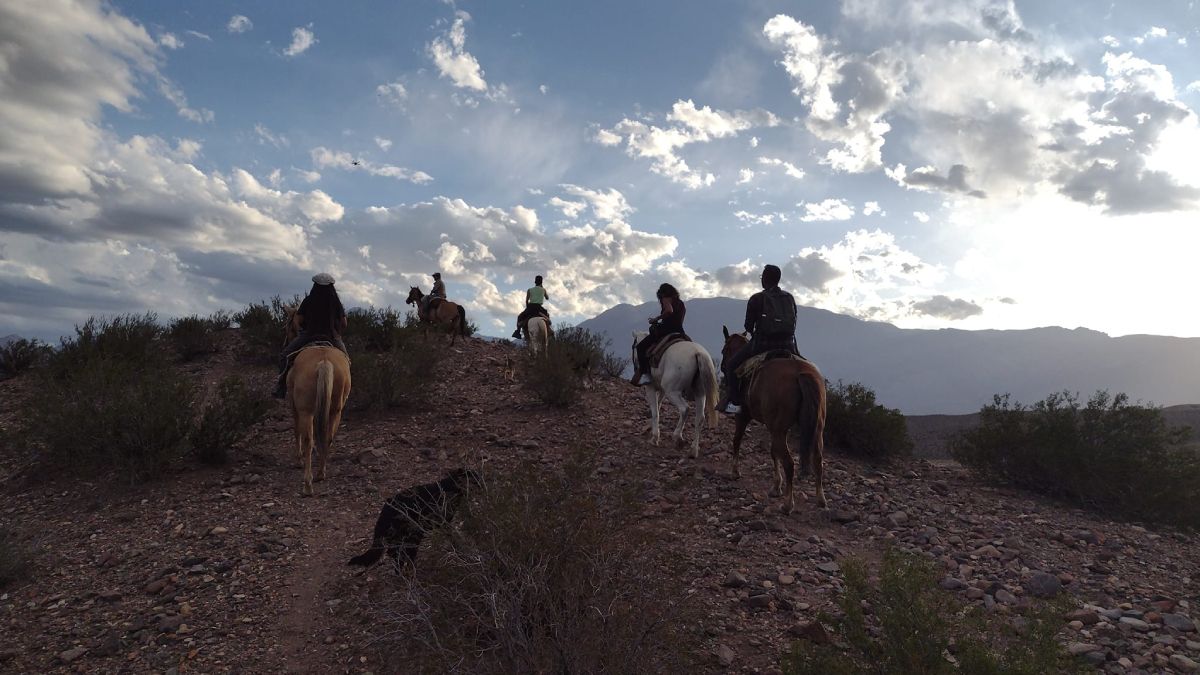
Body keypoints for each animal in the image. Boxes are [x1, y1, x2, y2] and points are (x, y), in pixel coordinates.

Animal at [283, 307, 352, 496]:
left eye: (289, 325)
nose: (285, 341)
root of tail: (324, 361)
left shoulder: (294, 406)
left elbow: (297, 430)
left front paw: (298, 460)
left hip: (306, 410)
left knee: (309, 439)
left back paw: (308, 484)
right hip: (335, 410)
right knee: (327, 437)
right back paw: (321, 473)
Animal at [719, 326, 826, 514]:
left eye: (724, 350)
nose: (723, 367)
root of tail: (801, 373)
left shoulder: (743, 417)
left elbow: (737, 440)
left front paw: (734, 472)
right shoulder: (773, 427)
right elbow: (772, 451)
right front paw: (776, 487)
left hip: (779, 430)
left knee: (790, 463)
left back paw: (788, 504)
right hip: (815, 430)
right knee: (818, 461)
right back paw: (821, 499)